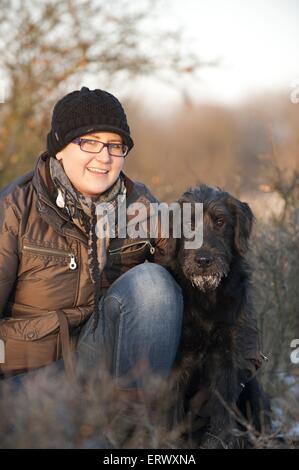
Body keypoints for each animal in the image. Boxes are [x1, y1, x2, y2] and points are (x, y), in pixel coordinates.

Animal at [169, 184, 272, 448]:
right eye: (188, 223)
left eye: (220, 221)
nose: (204, 260)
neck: (206, 296)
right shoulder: (178, 359)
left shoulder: (229, 357)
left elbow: (222, 407)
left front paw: (218, 441)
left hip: (254, 388)